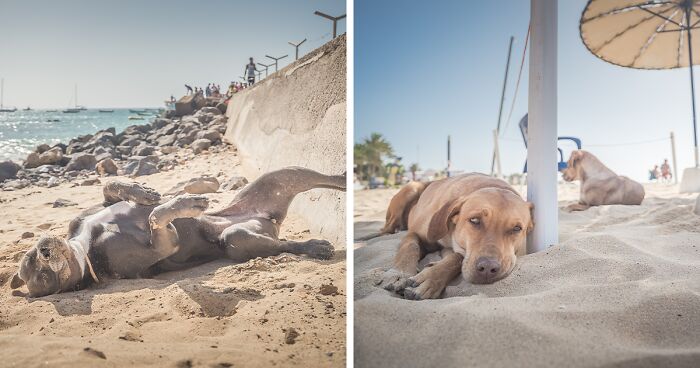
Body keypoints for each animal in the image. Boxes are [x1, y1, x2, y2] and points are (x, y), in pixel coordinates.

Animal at [378, 173, 536, 300]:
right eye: (474, 220)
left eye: (517, 228)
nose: (488, 268)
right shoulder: (415, 234)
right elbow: (410, 247)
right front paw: (400, 273)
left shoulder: (451, 249)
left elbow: (456, 258)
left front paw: (432, 277)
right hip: (411, 188)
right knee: (387, 228)